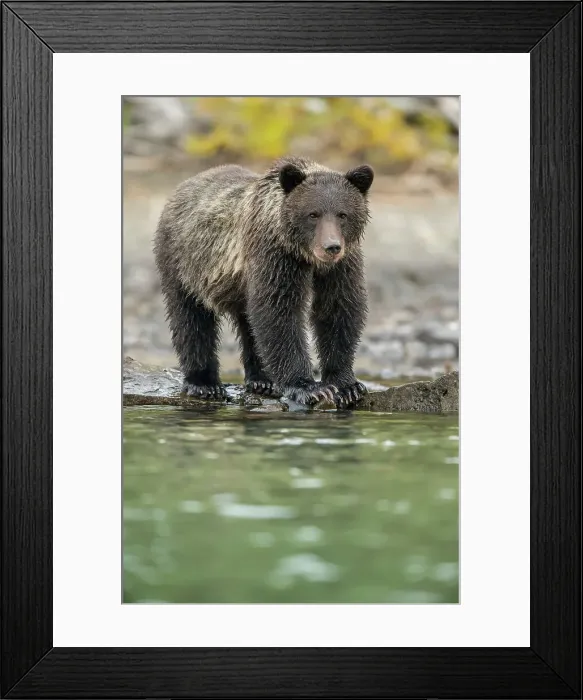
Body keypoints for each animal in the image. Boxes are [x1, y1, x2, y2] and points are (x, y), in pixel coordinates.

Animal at [153, 156, 373, 406]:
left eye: (342, 214)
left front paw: (347, 386)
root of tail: (182, 187)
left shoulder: (341, 266)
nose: (331, 247)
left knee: (249, 322)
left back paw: (264, 381)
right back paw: (204, 384)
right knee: (191, 318)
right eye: (313, 214)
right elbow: (278, 311)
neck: (305, 256)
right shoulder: (274, 255)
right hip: (185, 262)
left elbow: (338, 309)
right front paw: (309, 388)